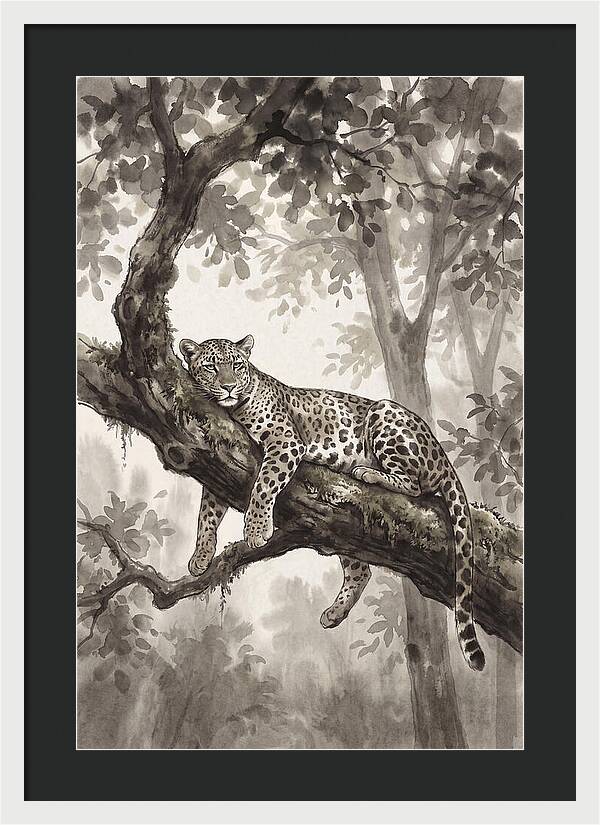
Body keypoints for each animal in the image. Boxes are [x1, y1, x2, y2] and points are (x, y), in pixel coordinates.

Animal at [179, 334, 485, 671]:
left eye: (236, 365)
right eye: (211, 367)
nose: (230, 387)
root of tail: (442, 454)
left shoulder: (285, 441)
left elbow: (263, 485)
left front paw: (257, 530)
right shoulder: (220, 458)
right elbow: (207, 513)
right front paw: (201, 556)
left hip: (384, 413)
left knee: (414, 485)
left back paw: (367, 472)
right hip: (342, 531)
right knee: (360, 571)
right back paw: (334, 614)